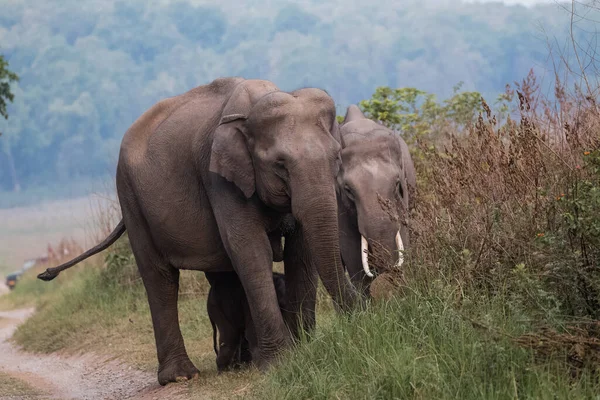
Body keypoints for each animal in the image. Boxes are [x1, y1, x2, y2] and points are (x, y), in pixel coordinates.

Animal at [39, 76, 364, 386]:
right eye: (279, 165)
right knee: (159, 277)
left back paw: (237, 362)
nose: (363, 315)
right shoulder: (218, 178)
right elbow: (249, 247)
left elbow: (301, 252)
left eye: (337, 157)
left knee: (223, 275)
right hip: (130, 197)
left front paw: (305, 351)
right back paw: (181, 376)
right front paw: (280, 363)